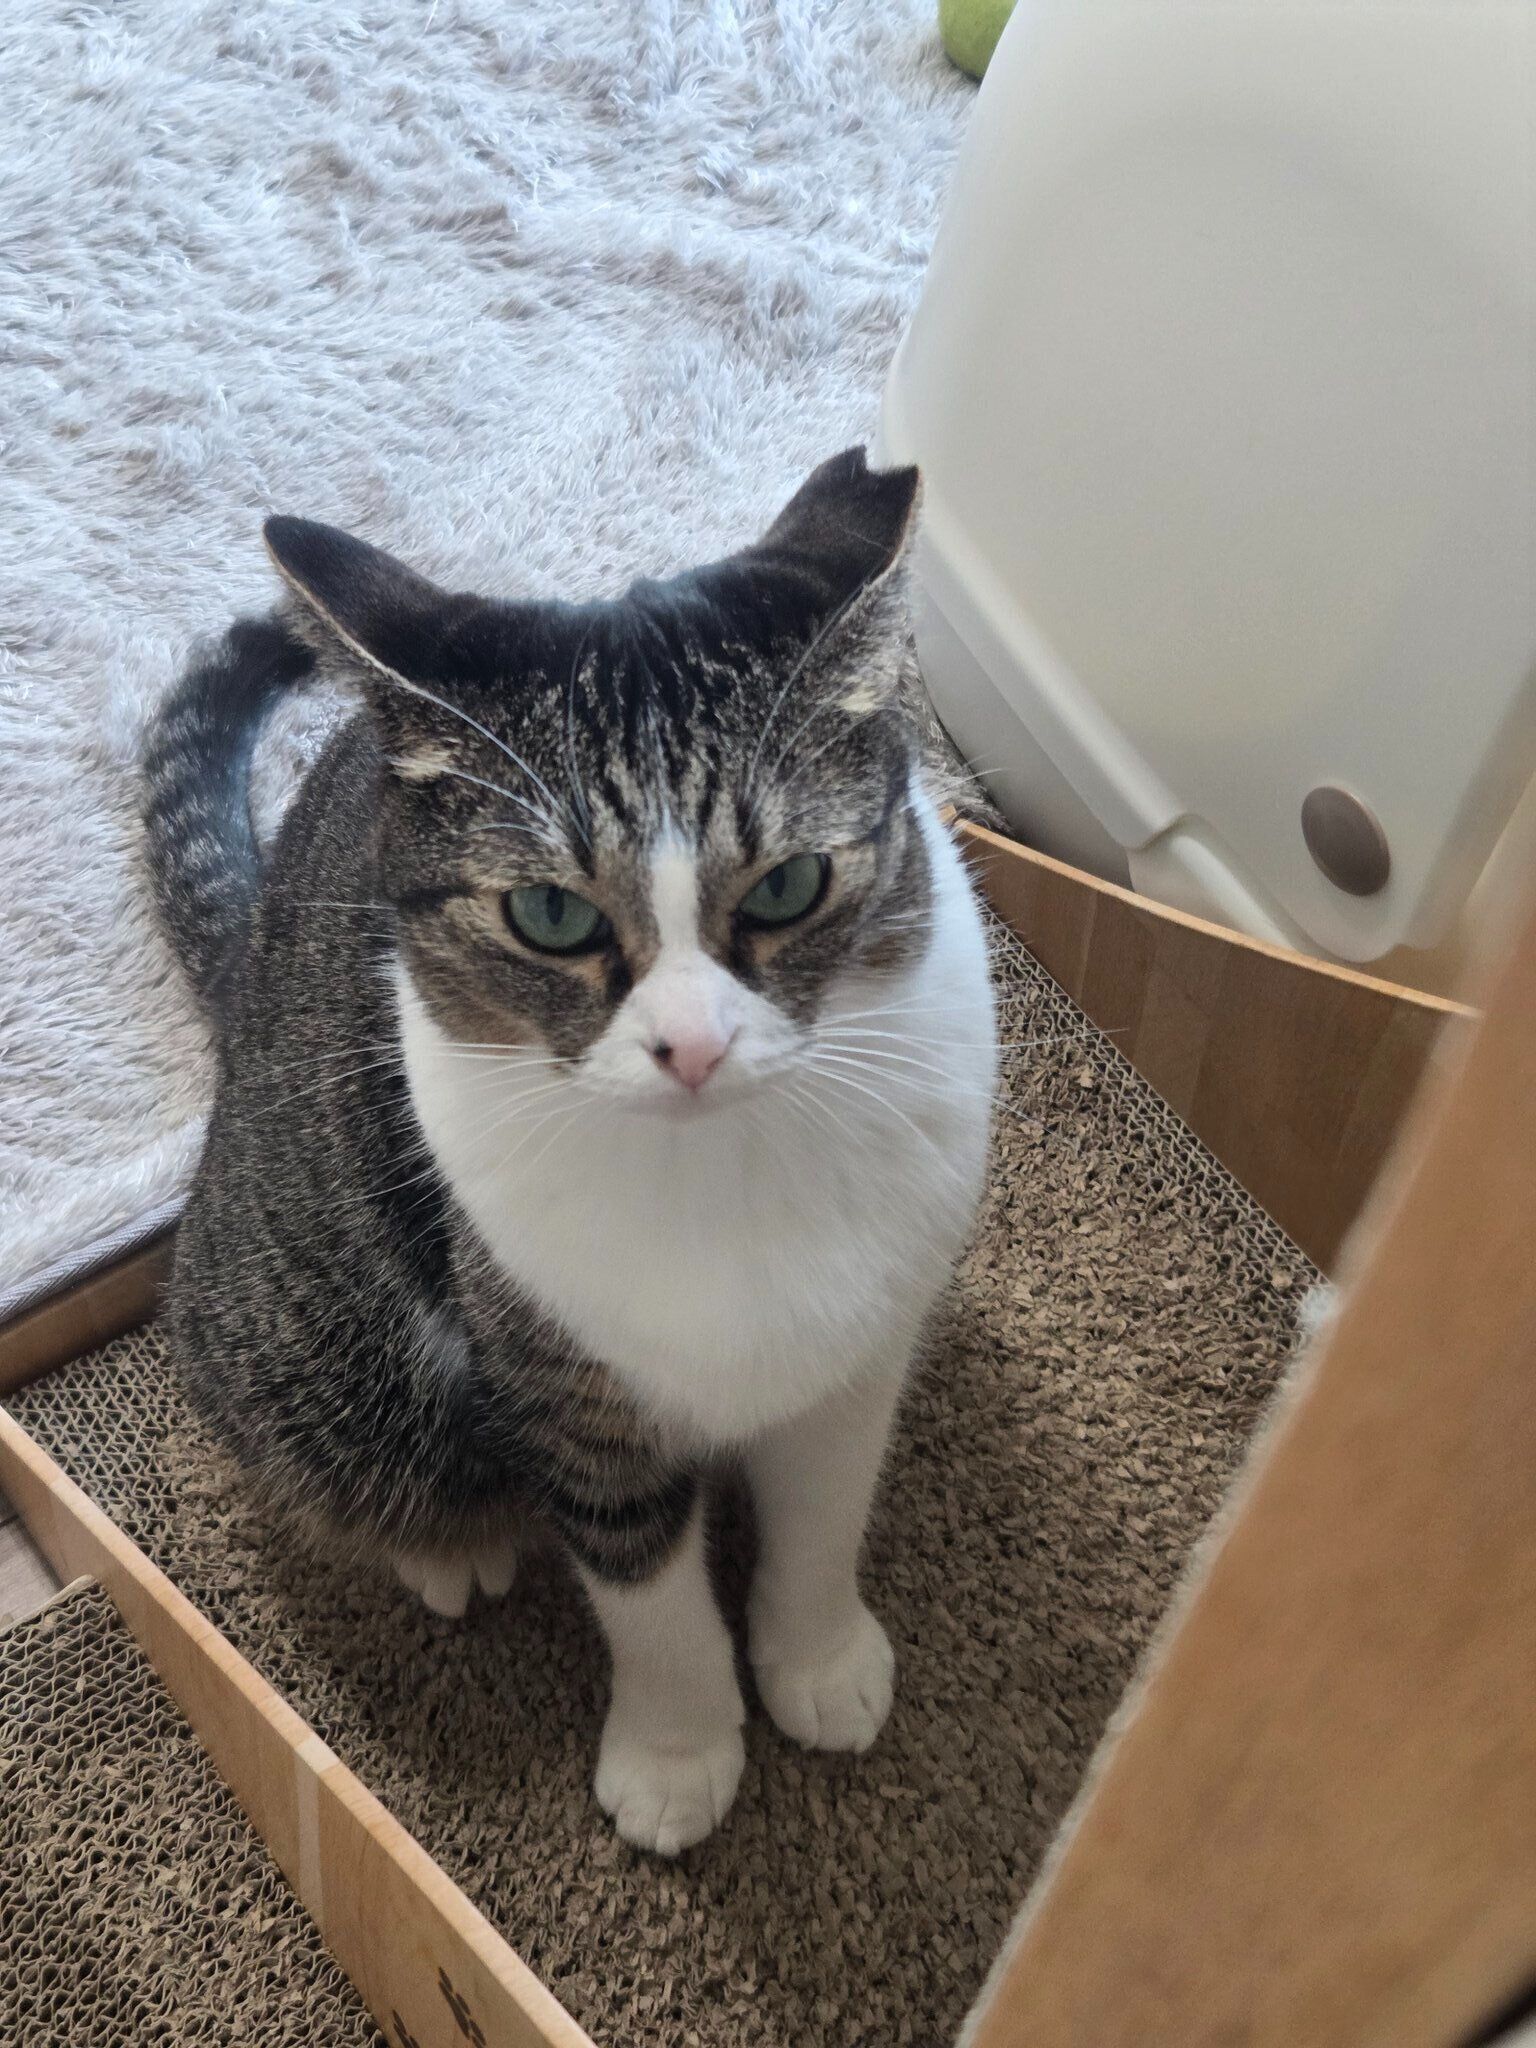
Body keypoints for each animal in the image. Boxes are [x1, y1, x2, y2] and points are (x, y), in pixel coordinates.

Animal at [142, 447, 997, 1853]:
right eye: (550, 912)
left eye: (786, 887)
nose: (693, 1046)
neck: (726, 1168)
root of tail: (252, 954)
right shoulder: (569, 1389)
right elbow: (649, 1595)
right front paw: (678, 1754)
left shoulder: (859, 1342)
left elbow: (824, 1514)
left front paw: (818, 1657)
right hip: (317, 1355)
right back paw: (452, 1545)